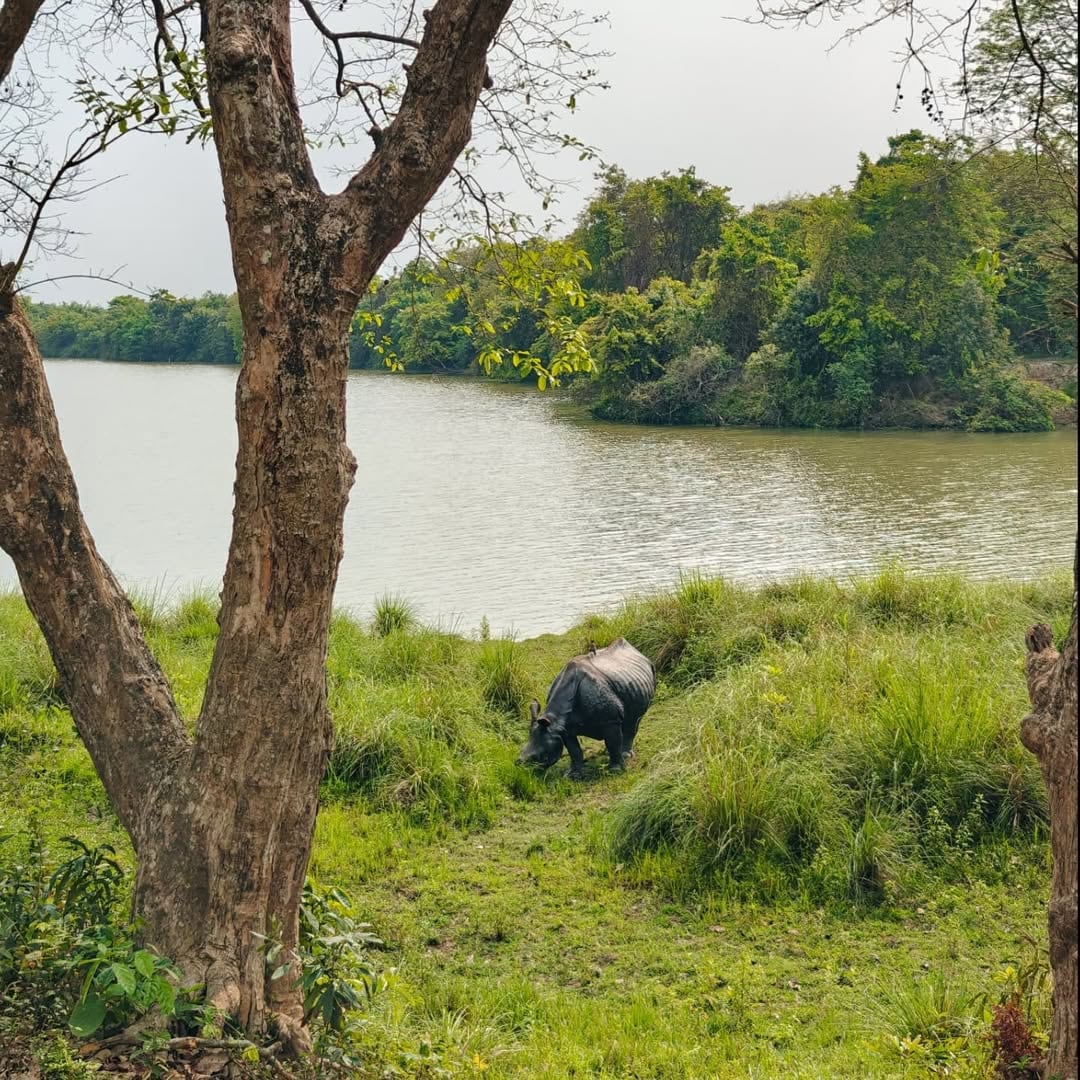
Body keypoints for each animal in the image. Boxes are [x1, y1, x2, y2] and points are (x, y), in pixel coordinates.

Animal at [517, 637, 655, 779]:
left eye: (537, 757)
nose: (520, 766)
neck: (553, 719)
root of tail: (639, 653)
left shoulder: (610, 720)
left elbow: (612, 742)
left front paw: (615, 770)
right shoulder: (564, 728)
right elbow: (574, 751)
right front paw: (573, 775)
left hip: (647, 671)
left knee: (634, 720)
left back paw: (625, 755)